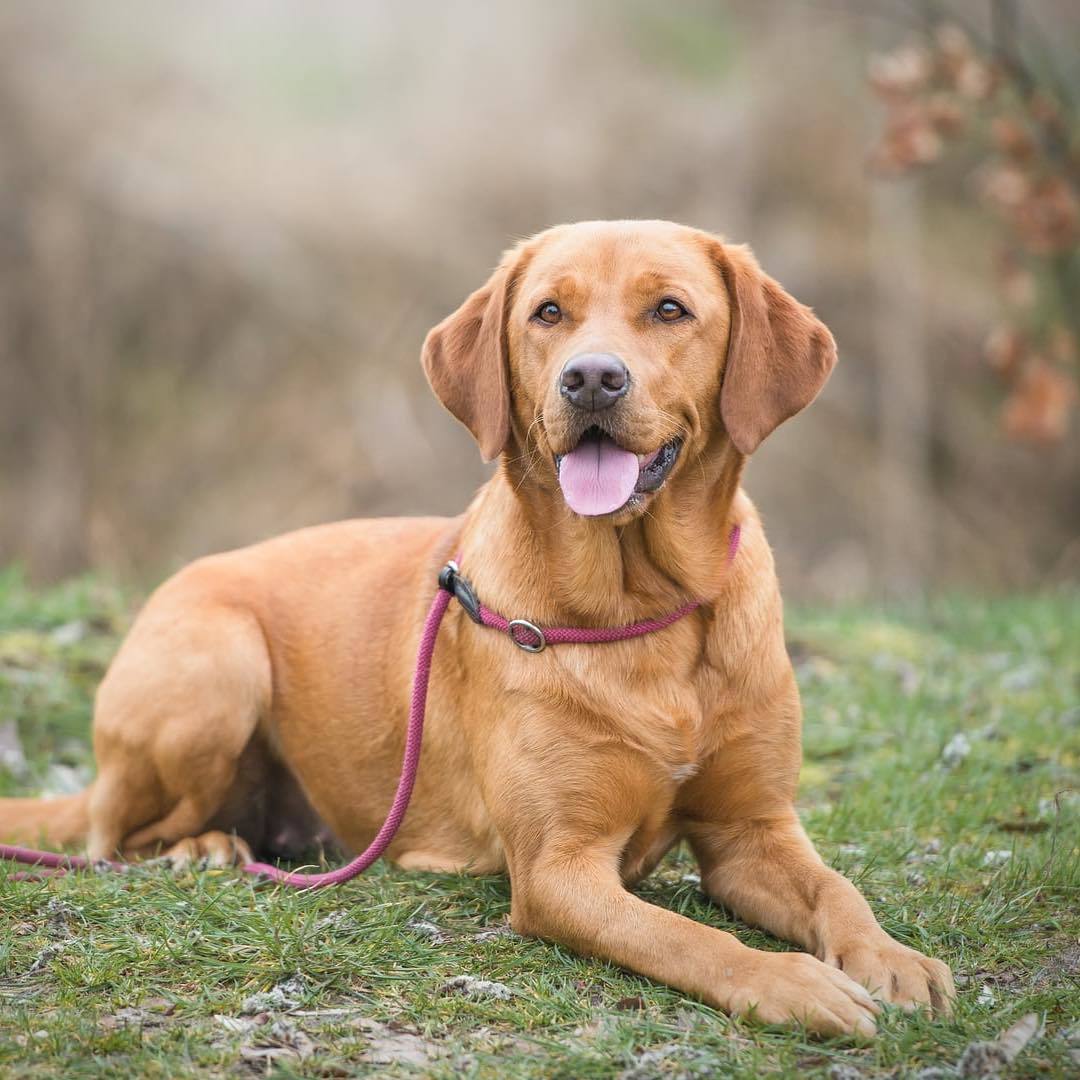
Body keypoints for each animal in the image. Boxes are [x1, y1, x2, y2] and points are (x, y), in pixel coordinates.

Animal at [2, 219, 954, 1036]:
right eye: (549, 313)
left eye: (670, 310)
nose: (591, 378)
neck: (639, 605)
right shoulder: (559, 869)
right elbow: (689, 938)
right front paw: (790, 983)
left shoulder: (752, 831)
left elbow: (838, 890)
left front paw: (891, 958)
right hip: (216, 666)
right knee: (115, 835)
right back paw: (201, 848)